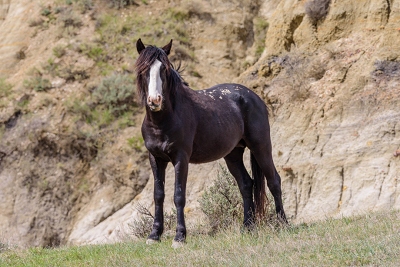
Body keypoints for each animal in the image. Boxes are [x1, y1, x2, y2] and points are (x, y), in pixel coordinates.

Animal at [136, 38, 286, 248]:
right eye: (143, 70)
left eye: (164, 69)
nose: (155, 100)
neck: (163, 121)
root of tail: (254, 97)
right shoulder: (156, 159)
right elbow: (158, 195)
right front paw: (154, 235)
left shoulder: (181, 158)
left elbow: (178, 196)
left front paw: (179, 237)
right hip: (233, 155)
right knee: (246, 184)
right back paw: (247, 227)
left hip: (261, 147)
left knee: (274, 181)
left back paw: (283, 224)